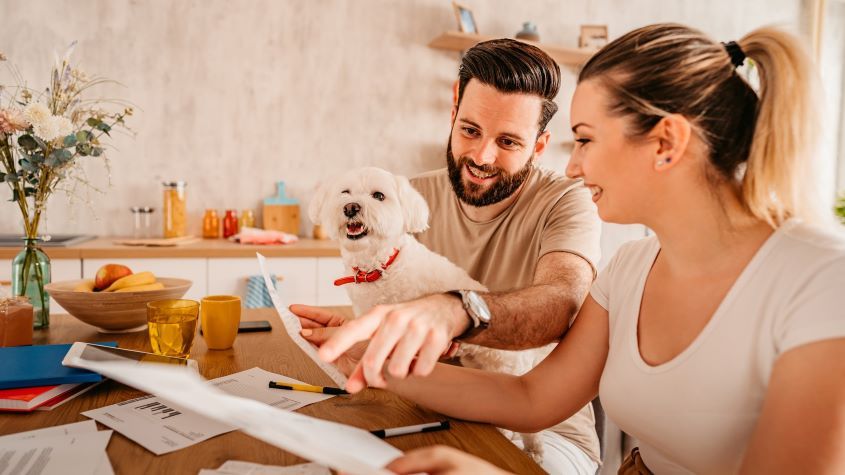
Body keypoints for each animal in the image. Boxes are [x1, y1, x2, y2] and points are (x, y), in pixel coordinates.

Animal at [310, 166, 548, 462]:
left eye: (379, 196)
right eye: (345, 192)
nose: (351, 207)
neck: (379, 268)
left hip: (506, 371)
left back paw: (533, 451)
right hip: (478, 365)